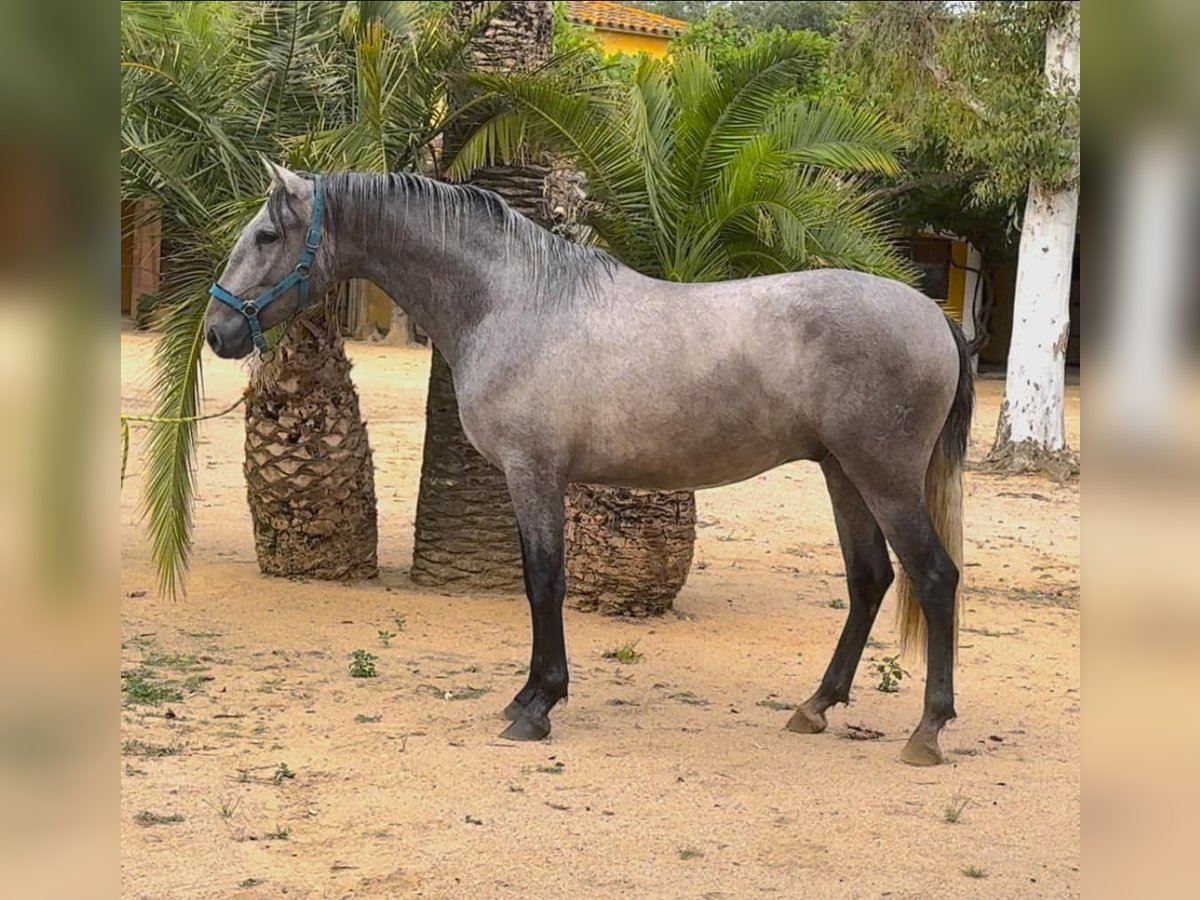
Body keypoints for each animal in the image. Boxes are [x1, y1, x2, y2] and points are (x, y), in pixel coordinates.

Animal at [206, 164, 969, 768]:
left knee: (934, 578)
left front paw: (538, 706)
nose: (218, 331)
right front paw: (527, 695)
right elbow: (537, 582)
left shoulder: (534, 472)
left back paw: (928, 731)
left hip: (884, 477)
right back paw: (816, 705)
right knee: (869, 579)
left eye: (267, 237)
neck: (516, 302)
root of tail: (935, 316)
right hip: (843, 473)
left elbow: (544, 582)